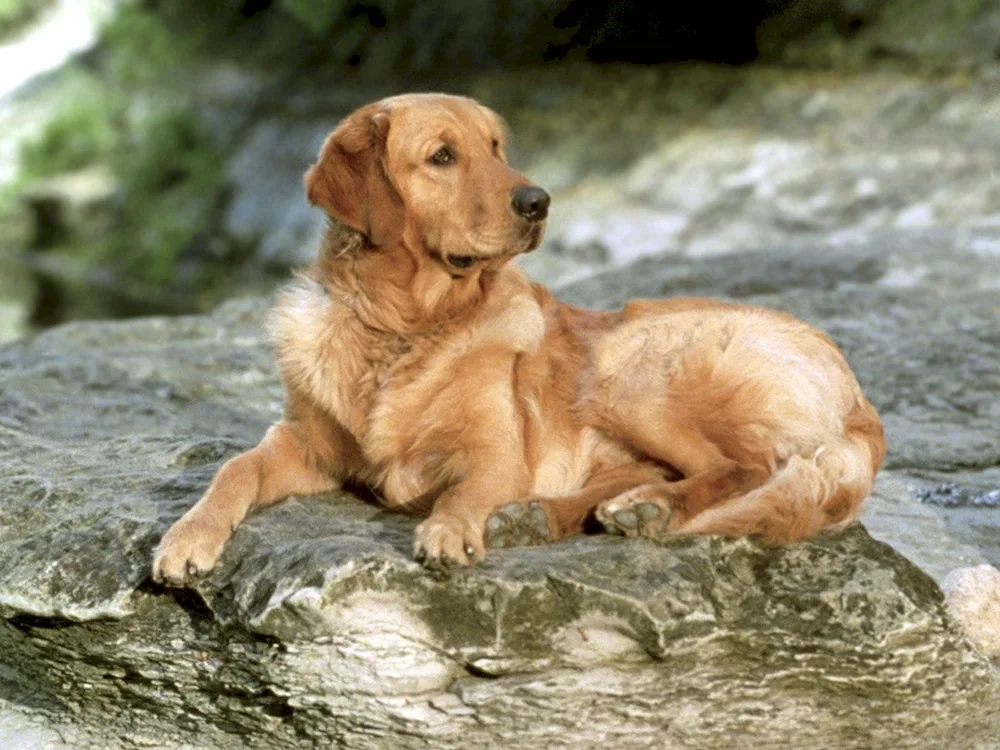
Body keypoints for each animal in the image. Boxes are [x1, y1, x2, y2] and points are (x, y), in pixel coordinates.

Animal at [150, 94, 884, 588]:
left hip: (634, 370)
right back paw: (554, 517)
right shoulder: (303, 442)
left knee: (743, 469)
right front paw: (187, 537)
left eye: (497, 147)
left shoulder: (497, 455)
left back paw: (645, 511)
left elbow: (465, 490)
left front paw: (449, 529)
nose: (539, 201)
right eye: (443, 156)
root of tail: (858, 396)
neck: (404, 327)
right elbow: (233, 468)